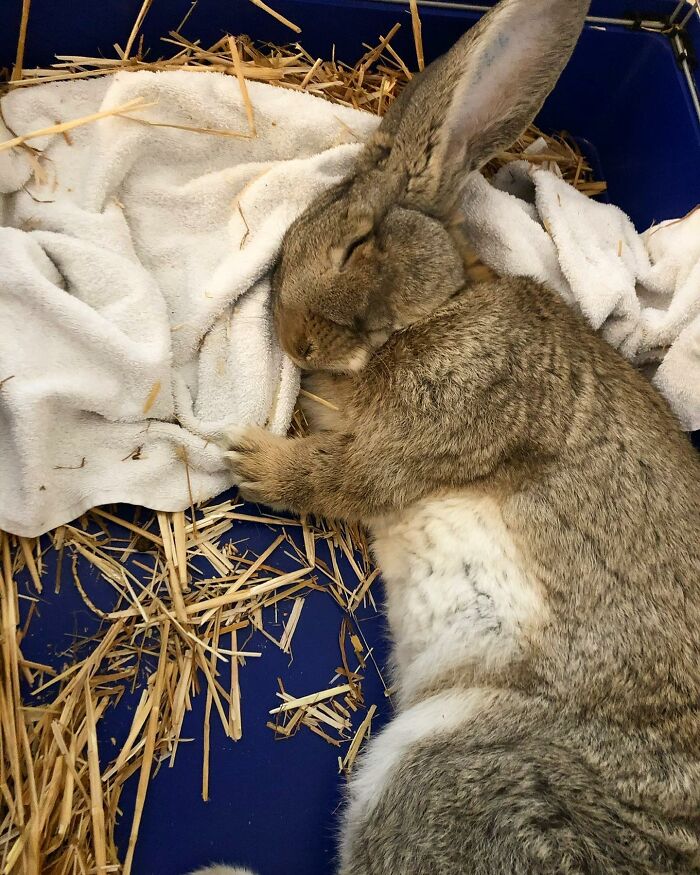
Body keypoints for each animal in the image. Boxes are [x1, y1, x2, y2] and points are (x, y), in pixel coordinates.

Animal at [214, 0, 700, 871]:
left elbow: (344, 471)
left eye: (357, 243)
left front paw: (252, 458)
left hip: (450, 763)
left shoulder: (440, 423)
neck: (438, 306)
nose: (295, 341)